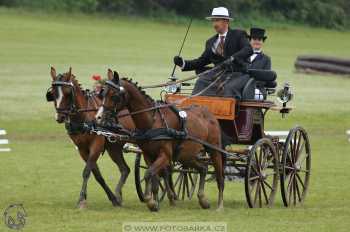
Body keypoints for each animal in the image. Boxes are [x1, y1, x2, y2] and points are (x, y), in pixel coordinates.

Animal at [46, 66, 134, 208]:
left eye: (68, 93)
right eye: (53, 93)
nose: (60, 117)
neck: (84, 117)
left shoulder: (96, 146)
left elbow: (87, 171)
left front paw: (81, 200)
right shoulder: (82, 149)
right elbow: (96, 174)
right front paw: (113, 198)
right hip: (114, 148)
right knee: (125, 169)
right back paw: (119, 196)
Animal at [95, 70, 224, 211]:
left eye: (114, 96)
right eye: (103, 93)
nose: (99, 117)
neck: (153, 121)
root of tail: (208, 112)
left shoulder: (165, 155)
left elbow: (148, 174)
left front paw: (150, 200)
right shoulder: (148, 155)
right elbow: (154, 179)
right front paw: (155, 202)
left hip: (214, 150)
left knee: (219, 176)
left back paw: (219, 205)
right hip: (187, 156)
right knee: (202, 169)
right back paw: (202, 199)